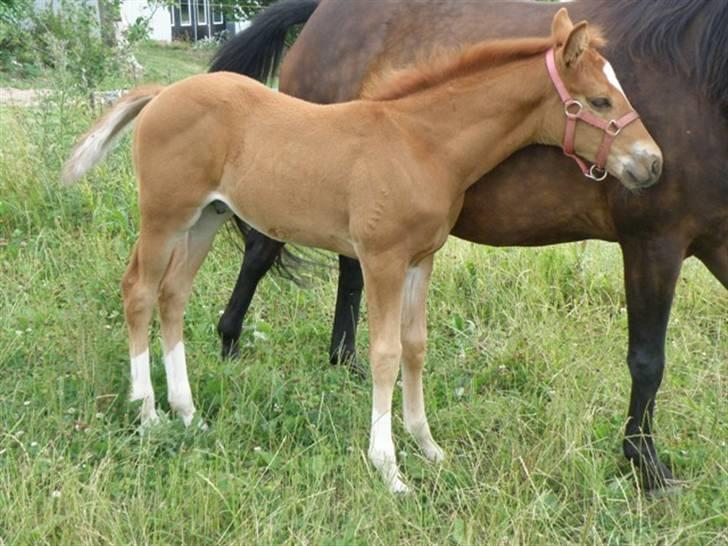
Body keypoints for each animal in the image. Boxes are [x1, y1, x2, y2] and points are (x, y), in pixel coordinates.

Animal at [65, 8, 664, 490]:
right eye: (600, 100)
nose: (653, 163)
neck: (421, 143)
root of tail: (164, 94)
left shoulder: (422, 259)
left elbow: (416, 347)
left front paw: (429, 447)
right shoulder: (382, 259)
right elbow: (384, 354)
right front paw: (389, 468)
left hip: (204, 219)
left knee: (173, 297)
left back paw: (188, 412)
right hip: (164, 216)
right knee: (139, 291)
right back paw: (148, 414)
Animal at [212, 0, 728, 488]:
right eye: (600, 101)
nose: (653, 163)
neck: (697, 76)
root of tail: (319, 13)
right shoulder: (653, 240)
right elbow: (647, 360)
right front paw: (647, 466)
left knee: (349, 270)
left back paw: (343, 360)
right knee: (260, 251)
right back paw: (230, 344)